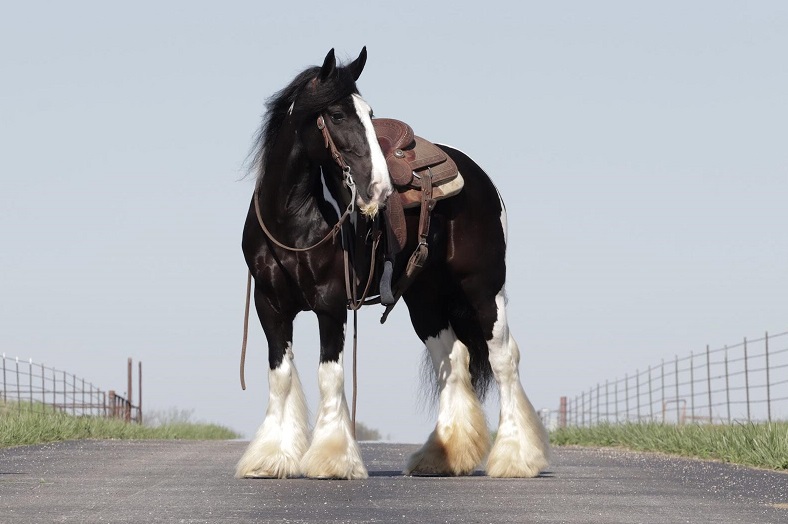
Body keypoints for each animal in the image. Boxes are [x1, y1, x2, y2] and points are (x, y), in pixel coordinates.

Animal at [236, 47, 550, 480]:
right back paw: (439, 457)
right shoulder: (270, 306)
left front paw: (333, 459)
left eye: (369, 112)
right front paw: (270, 457)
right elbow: (280, 376)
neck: (293, 221)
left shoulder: (330, 305)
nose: (379, 189)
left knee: (503, 358)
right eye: (337, 115)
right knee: (452, 359)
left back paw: (516, 458)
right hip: (425, 300)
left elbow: (329, 375)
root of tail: (478, 176)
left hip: (484, 290)